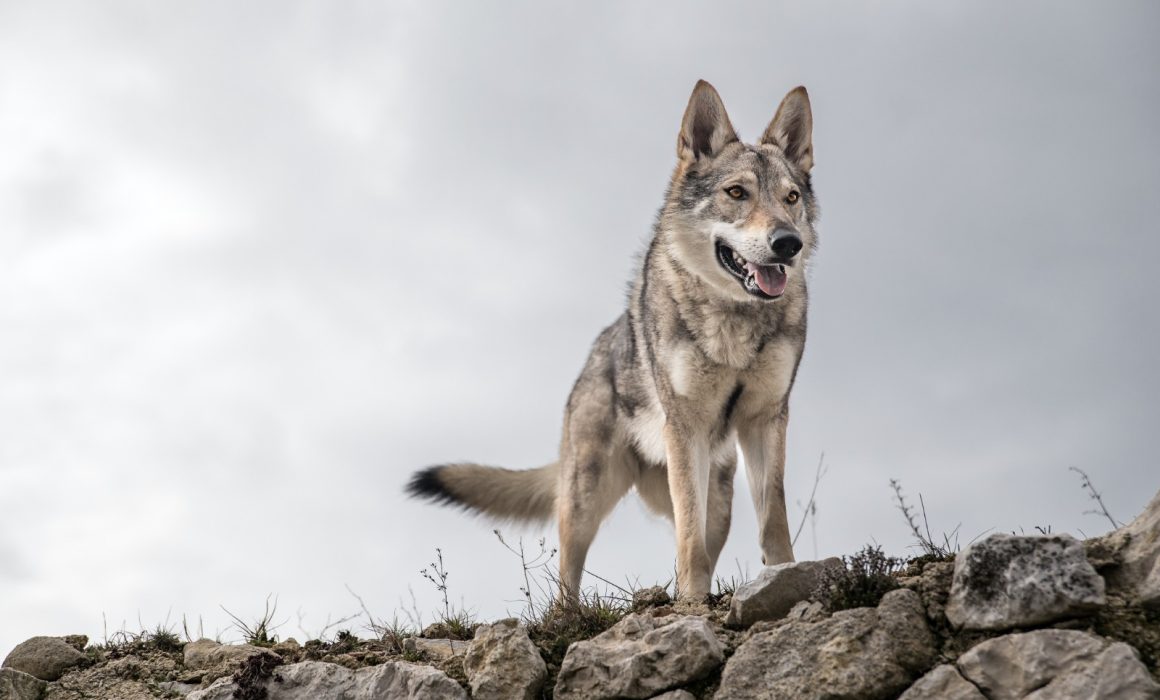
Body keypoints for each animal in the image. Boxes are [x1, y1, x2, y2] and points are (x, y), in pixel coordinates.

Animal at [407, 80, 817, 601]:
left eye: (790, 197)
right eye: (736, 193)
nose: (788, 243)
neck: (735, 323)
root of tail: (593, 354)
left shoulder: (766, 419)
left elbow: (773, 521)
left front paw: (786, 579)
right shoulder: (686, 427)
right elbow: (690, 539)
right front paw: (692, 603)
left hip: (718, 498)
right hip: (587, 496)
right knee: (569, 576)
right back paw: (573, 615)